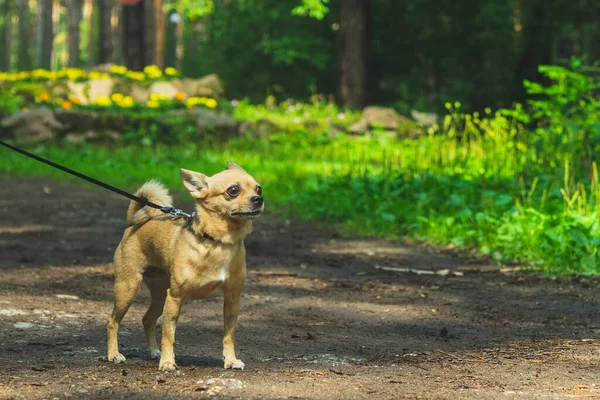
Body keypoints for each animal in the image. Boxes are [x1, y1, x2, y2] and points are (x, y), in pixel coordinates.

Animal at [105, 161, 262, 370]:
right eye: (233, 190)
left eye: (259, 188)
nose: (259, 199)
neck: (218, 242)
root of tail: (134, 224)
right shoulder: (175, 298)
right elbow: (168, 334)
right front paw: (167, 362)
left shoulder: (232, 299)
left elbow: (228, 335)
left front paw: (230, 360)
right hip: (128, 289)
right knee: (113, 321)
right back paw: (114, 354)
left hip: (160, 294)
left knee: (147, 319)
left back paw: (153, 351)